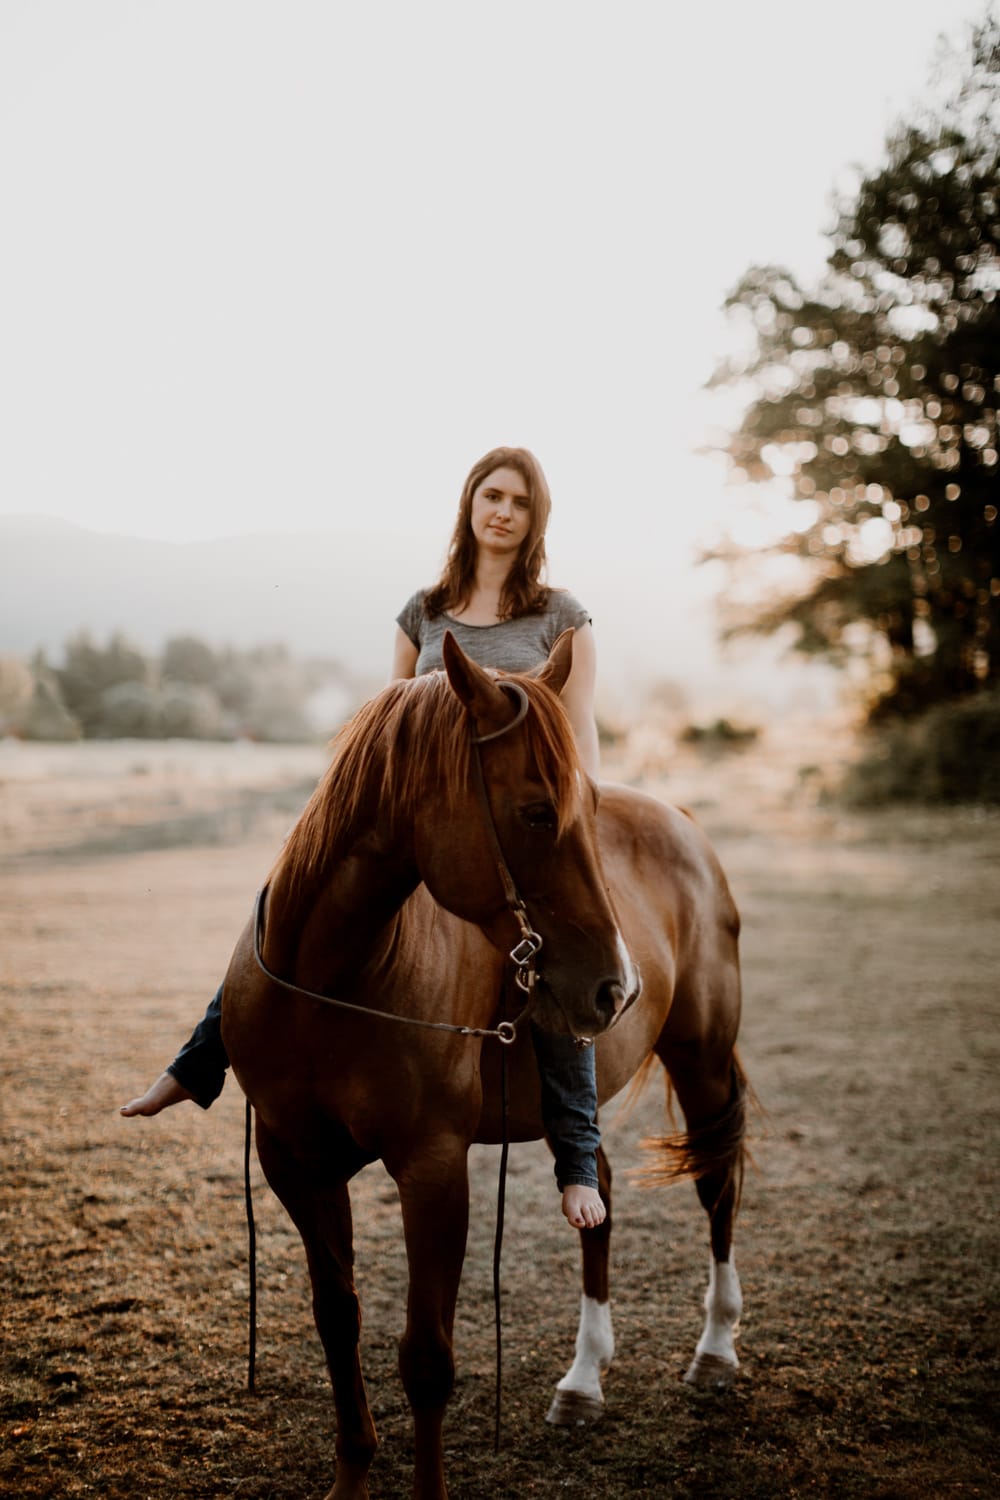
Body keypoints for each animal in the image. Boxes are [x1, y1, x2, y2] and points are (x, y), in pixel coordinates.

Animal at [221, 628, 748, 1500]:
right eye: (536, 813)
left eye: (587, 812)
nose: (618, 987)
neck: (331, 984)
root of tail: (684, 825)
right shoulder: (295, 1162)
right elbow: (338, 1318)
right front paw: (351, 1474)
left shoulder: (433, 1167)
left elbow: (428, 1357)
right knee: (599, 1193)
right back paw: (583, 1380)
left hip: (701, 1057)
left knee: (718, 1182)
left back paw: (715, 1348)